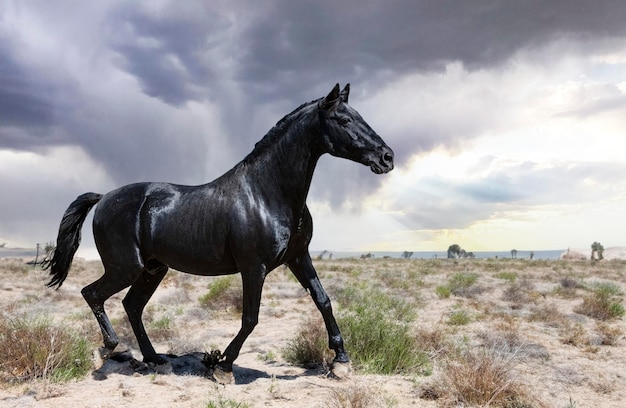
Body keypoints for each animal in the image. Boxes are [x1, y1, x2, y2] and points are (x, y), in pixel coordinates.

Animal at [46, 83, 392, 382]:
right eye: (344, 119)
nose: (387, 157)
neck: (267, 192)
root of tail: (104, 197)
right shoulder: (254, 268)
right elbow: (250, 317)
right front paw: (221, 365)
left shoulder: (298, 257)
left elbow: (323, 300)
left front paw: (341, 362)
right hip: (125, 266)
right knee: (92, 294)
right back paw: (108, 348)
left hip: (153, 269)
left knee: (132, 305)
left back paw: (154, 359)